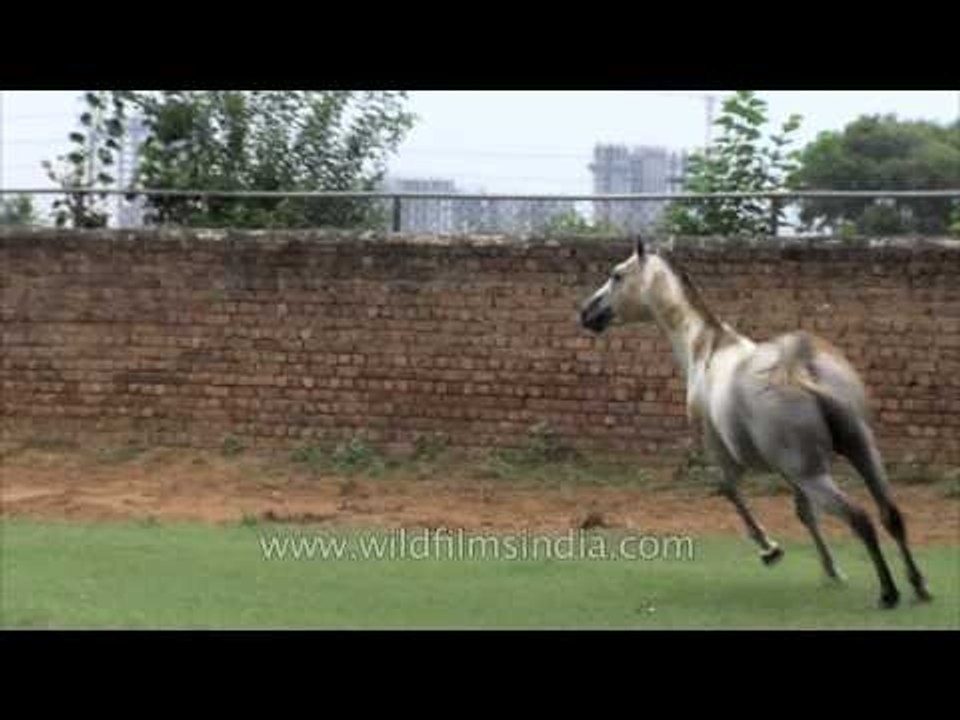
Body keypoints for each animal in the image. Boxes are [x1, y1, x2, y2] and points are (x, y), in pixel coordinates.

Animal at [579, 236, 931, 609]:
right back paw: (919, 585)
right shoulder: (787, 473)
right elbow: (804, 514)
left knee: (860, 518)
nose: (586, 312)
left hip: (813, 474)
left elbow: (730, 492)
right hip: (860, 452)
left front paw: (770, 549)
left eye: (617, 274)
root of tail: (804, 366)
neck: (704, 350)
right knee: (890, 514)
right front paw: (831, 570)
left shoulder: (722, 454)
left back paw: (889, 592)